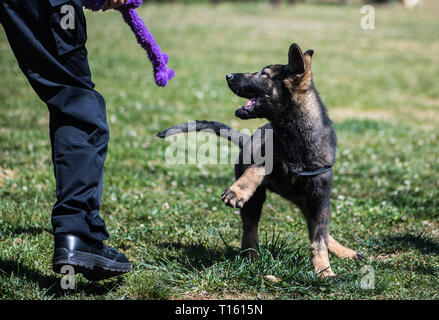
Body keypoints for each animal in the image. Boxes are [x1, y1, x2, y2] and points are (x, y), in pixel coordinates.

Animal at [158, 43, 364, 278]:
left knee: (319, 228)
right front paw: (237, 191)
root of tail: (246, 139)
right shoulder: (267, 155)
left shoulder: (319, 195)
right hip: (258, 200)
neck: (291, 133)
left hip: (306, 200)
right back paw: (252, 259)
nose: (228, 75)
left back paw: (344, 251)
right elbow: (257, 169)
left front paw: (324, 271)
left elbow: (318, 238)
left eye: (263, 74)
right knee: (250, 230)